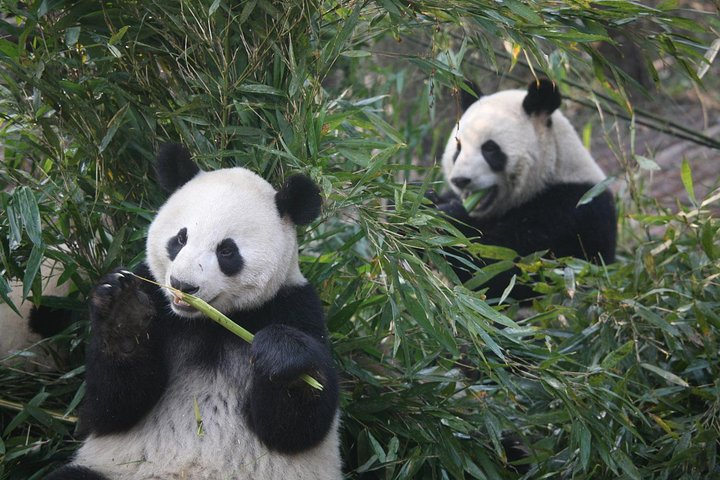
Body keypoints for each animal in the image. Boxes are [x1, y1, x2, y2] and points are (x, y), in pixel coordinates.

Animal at [47, 144, 341, 480]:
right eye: (180, 238)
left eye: (226, 250)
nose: (182, 285)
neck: (209, 322)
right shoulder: (155, 298)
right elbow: (109, 407)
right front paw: (124, 313)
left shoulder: (293, 305)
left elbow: (297, 428)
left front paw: (281, 355)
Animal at [434, 79, 617, 300]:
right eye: (458, 148)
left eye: (490, 148)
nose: (461, 180)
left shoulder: (570, 210)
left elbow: (503, 266)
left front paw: (447, 217)